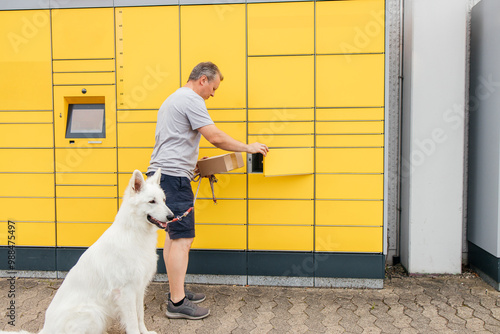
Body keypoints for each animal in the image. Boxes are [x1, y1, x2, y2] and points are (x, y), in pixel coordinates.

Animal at [0, 170, 172, 334]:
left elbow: (140, 316)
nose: (171, 216)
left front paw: (145, 331)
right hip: (93, 313)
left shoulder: (139, 288)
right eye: (152, 201)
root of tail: (45, 330)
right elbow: (132, 322)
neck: (134, 232)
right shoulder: (126, 292)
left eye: (163, 200)